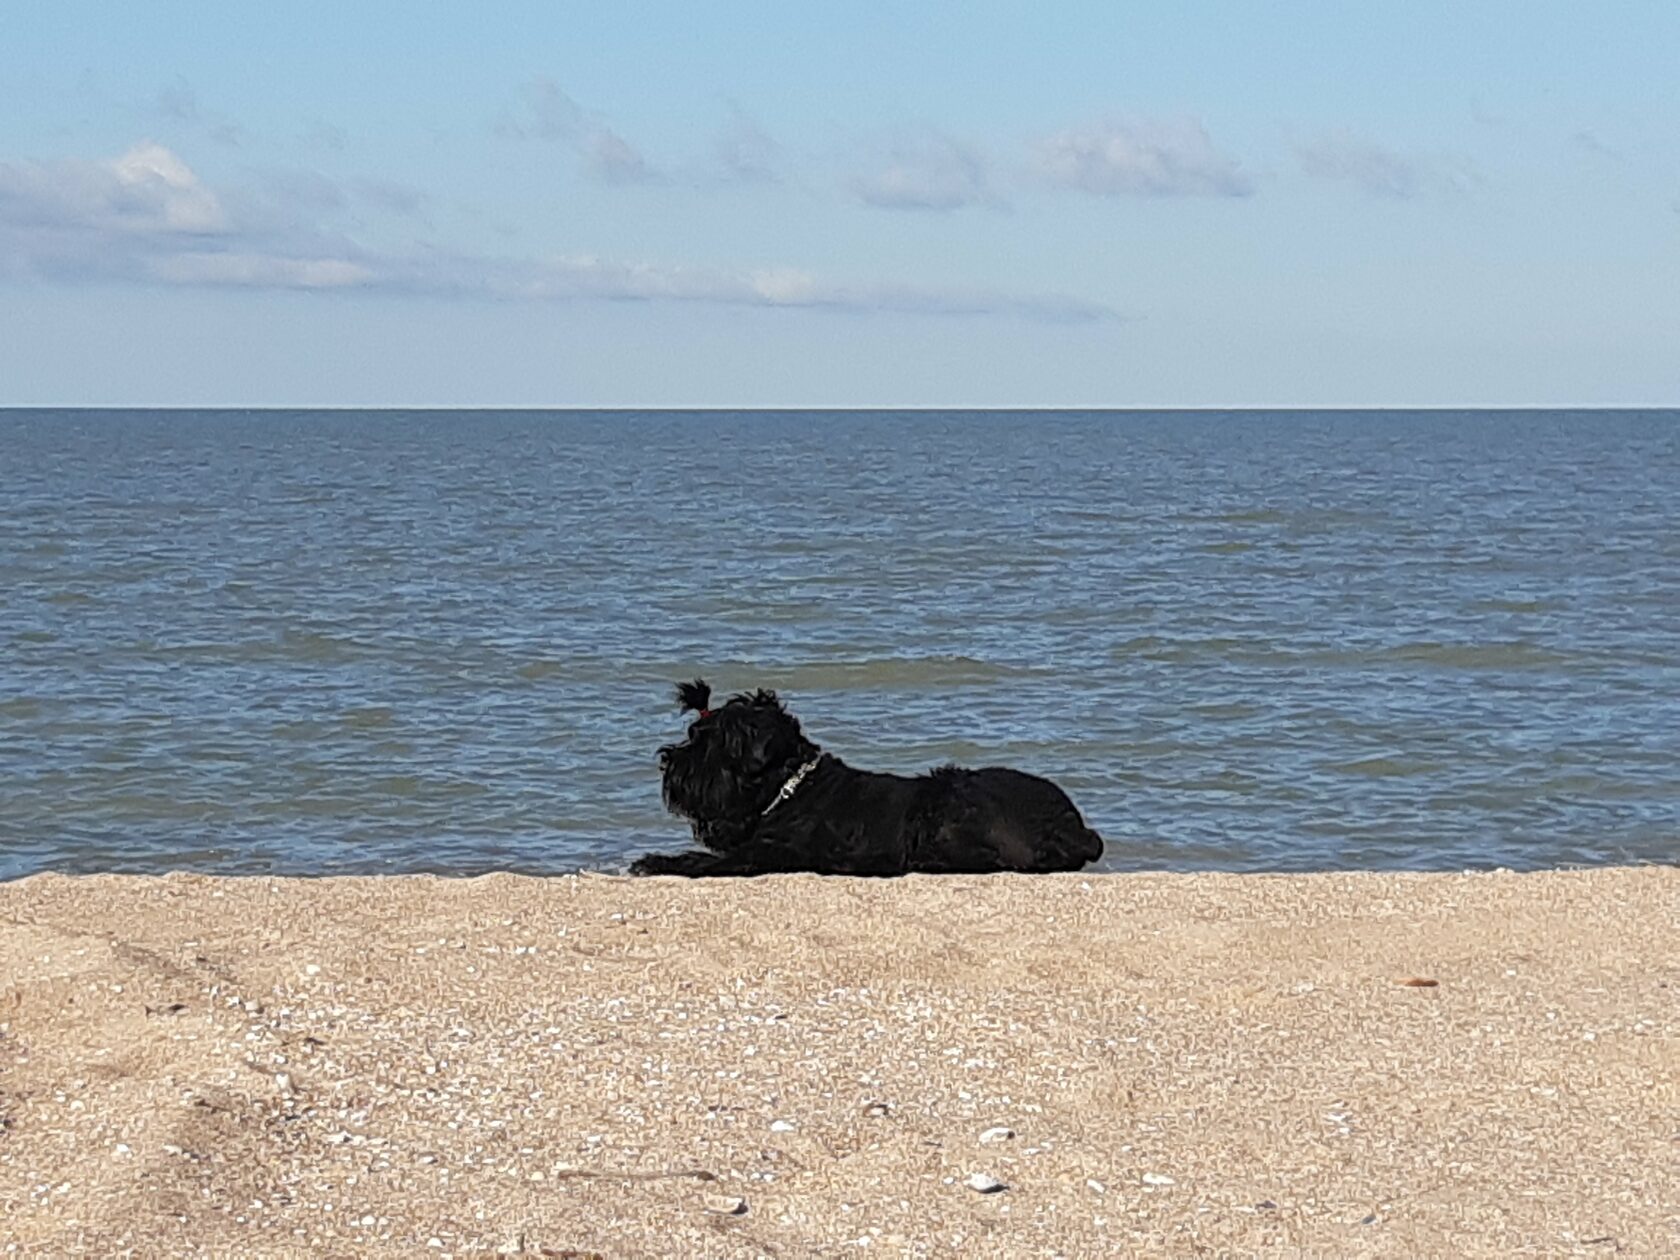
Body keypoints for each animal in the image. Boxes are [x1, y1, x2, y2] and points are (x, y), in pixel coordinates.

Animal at [631, 682, 1102, 880]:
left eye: (709, 743)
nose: (668, 762)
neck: (787, 791)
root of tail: (1076, 825)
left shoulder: (768, 853)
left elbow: (705, 862)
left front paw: (657, 861)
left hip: (948, 798)